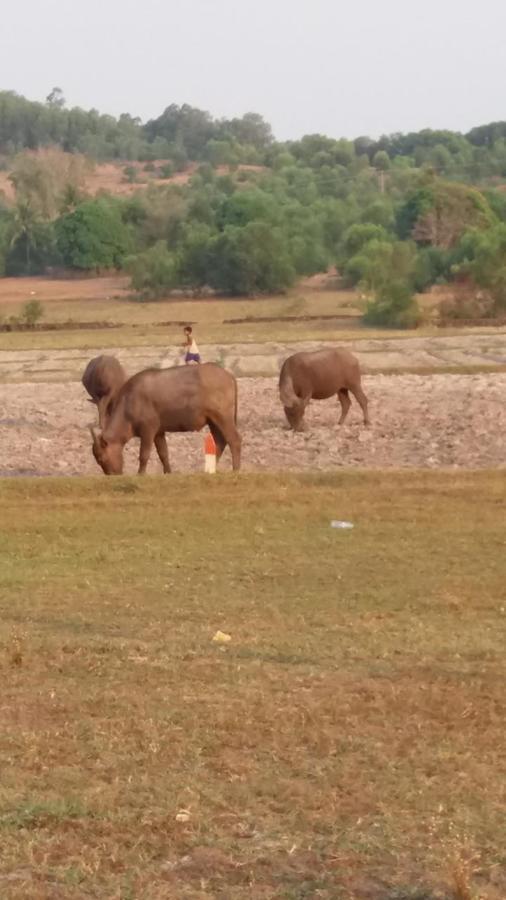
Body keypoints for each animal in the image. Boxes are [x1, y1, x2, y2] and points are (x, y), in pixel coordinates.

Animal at [89, 364, 241, 478]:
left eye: (101, 459)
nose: (112, 475)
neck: (129, 402)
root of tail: (229, 376)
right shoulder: (159, 432)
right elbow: (163, 453)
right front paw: (168, 472)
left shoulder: (148, 431)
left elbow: (144, 454)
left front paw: (140, 474)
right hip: (212, 420)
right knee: (219, 441)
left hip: (223, 417)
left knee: (234, 439)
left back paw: (236, 469)